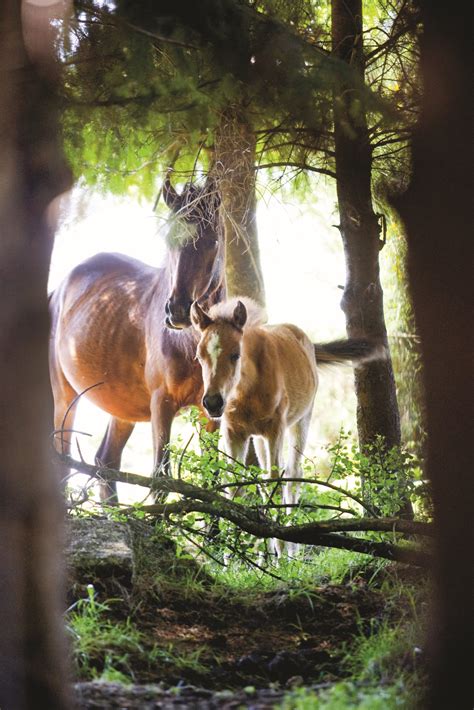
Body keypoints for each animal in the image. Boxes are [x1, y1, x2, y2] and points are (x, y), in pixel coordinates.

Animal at [49, 177, 224, 500]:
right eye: (168, 238)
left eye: (213, 239)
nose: (178, 310)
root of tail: (60, 289)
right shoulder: (162, 403)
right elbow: (161, 479)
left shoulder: (211, 412)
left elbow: (213, 480)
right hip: (65, 397)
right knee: (64, 464)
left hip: (122, 408)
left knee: (105, 463)